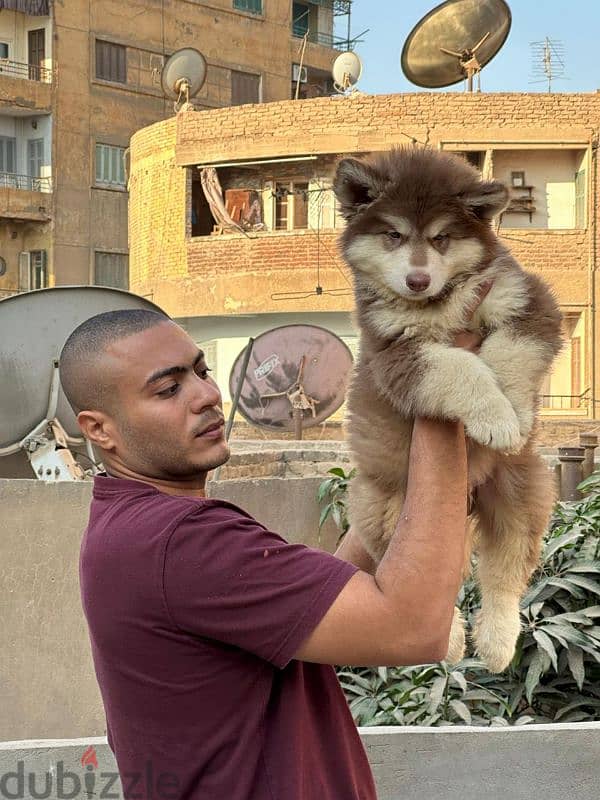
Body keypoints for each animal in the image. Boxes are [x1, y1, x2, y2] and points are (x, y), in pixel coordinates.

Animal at [332, 147, 564, 672]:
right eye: (393, 235)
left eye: (441, 238)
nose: (417, 280)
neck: (438, 305)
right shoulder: (398, 353)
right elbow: (460, 365)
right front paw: (496, 418)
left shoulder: (524, 301)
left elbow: (509, 353)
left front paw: (513, 417)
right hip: (383, 508)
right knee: (425, 595)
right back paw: (455, 641)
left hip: (522, 495)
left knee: (503, 575)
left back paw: (496, 643)